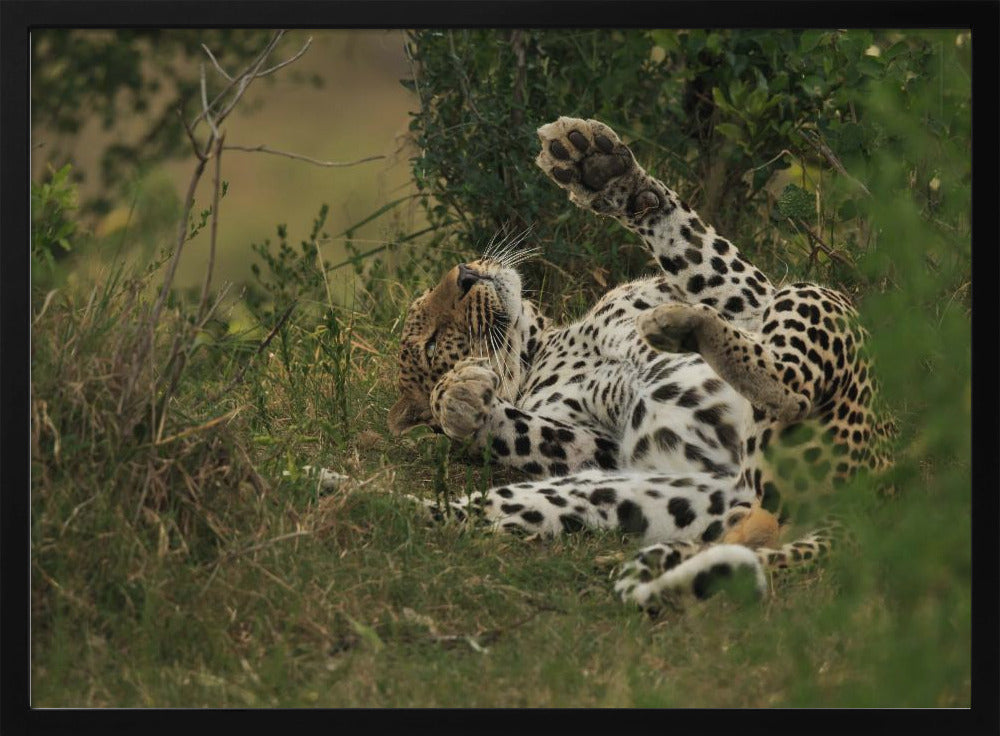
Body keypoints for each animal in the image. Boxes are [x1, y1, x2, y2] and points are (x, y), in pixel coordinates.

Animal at [386, 115, 896, 608]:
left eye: (439, 287)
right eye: (432, 343)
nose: (465, 274)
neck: (545, 344)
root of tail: (870, 502)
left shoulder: (753, 301)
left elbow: (694, 247)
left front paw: (595, 165)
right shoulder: (598, 447)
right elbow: (529, 430)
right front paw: (457, 398)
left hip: (813, 300)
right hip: (629, 491)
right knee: (790, 392)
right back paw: (378, 502)